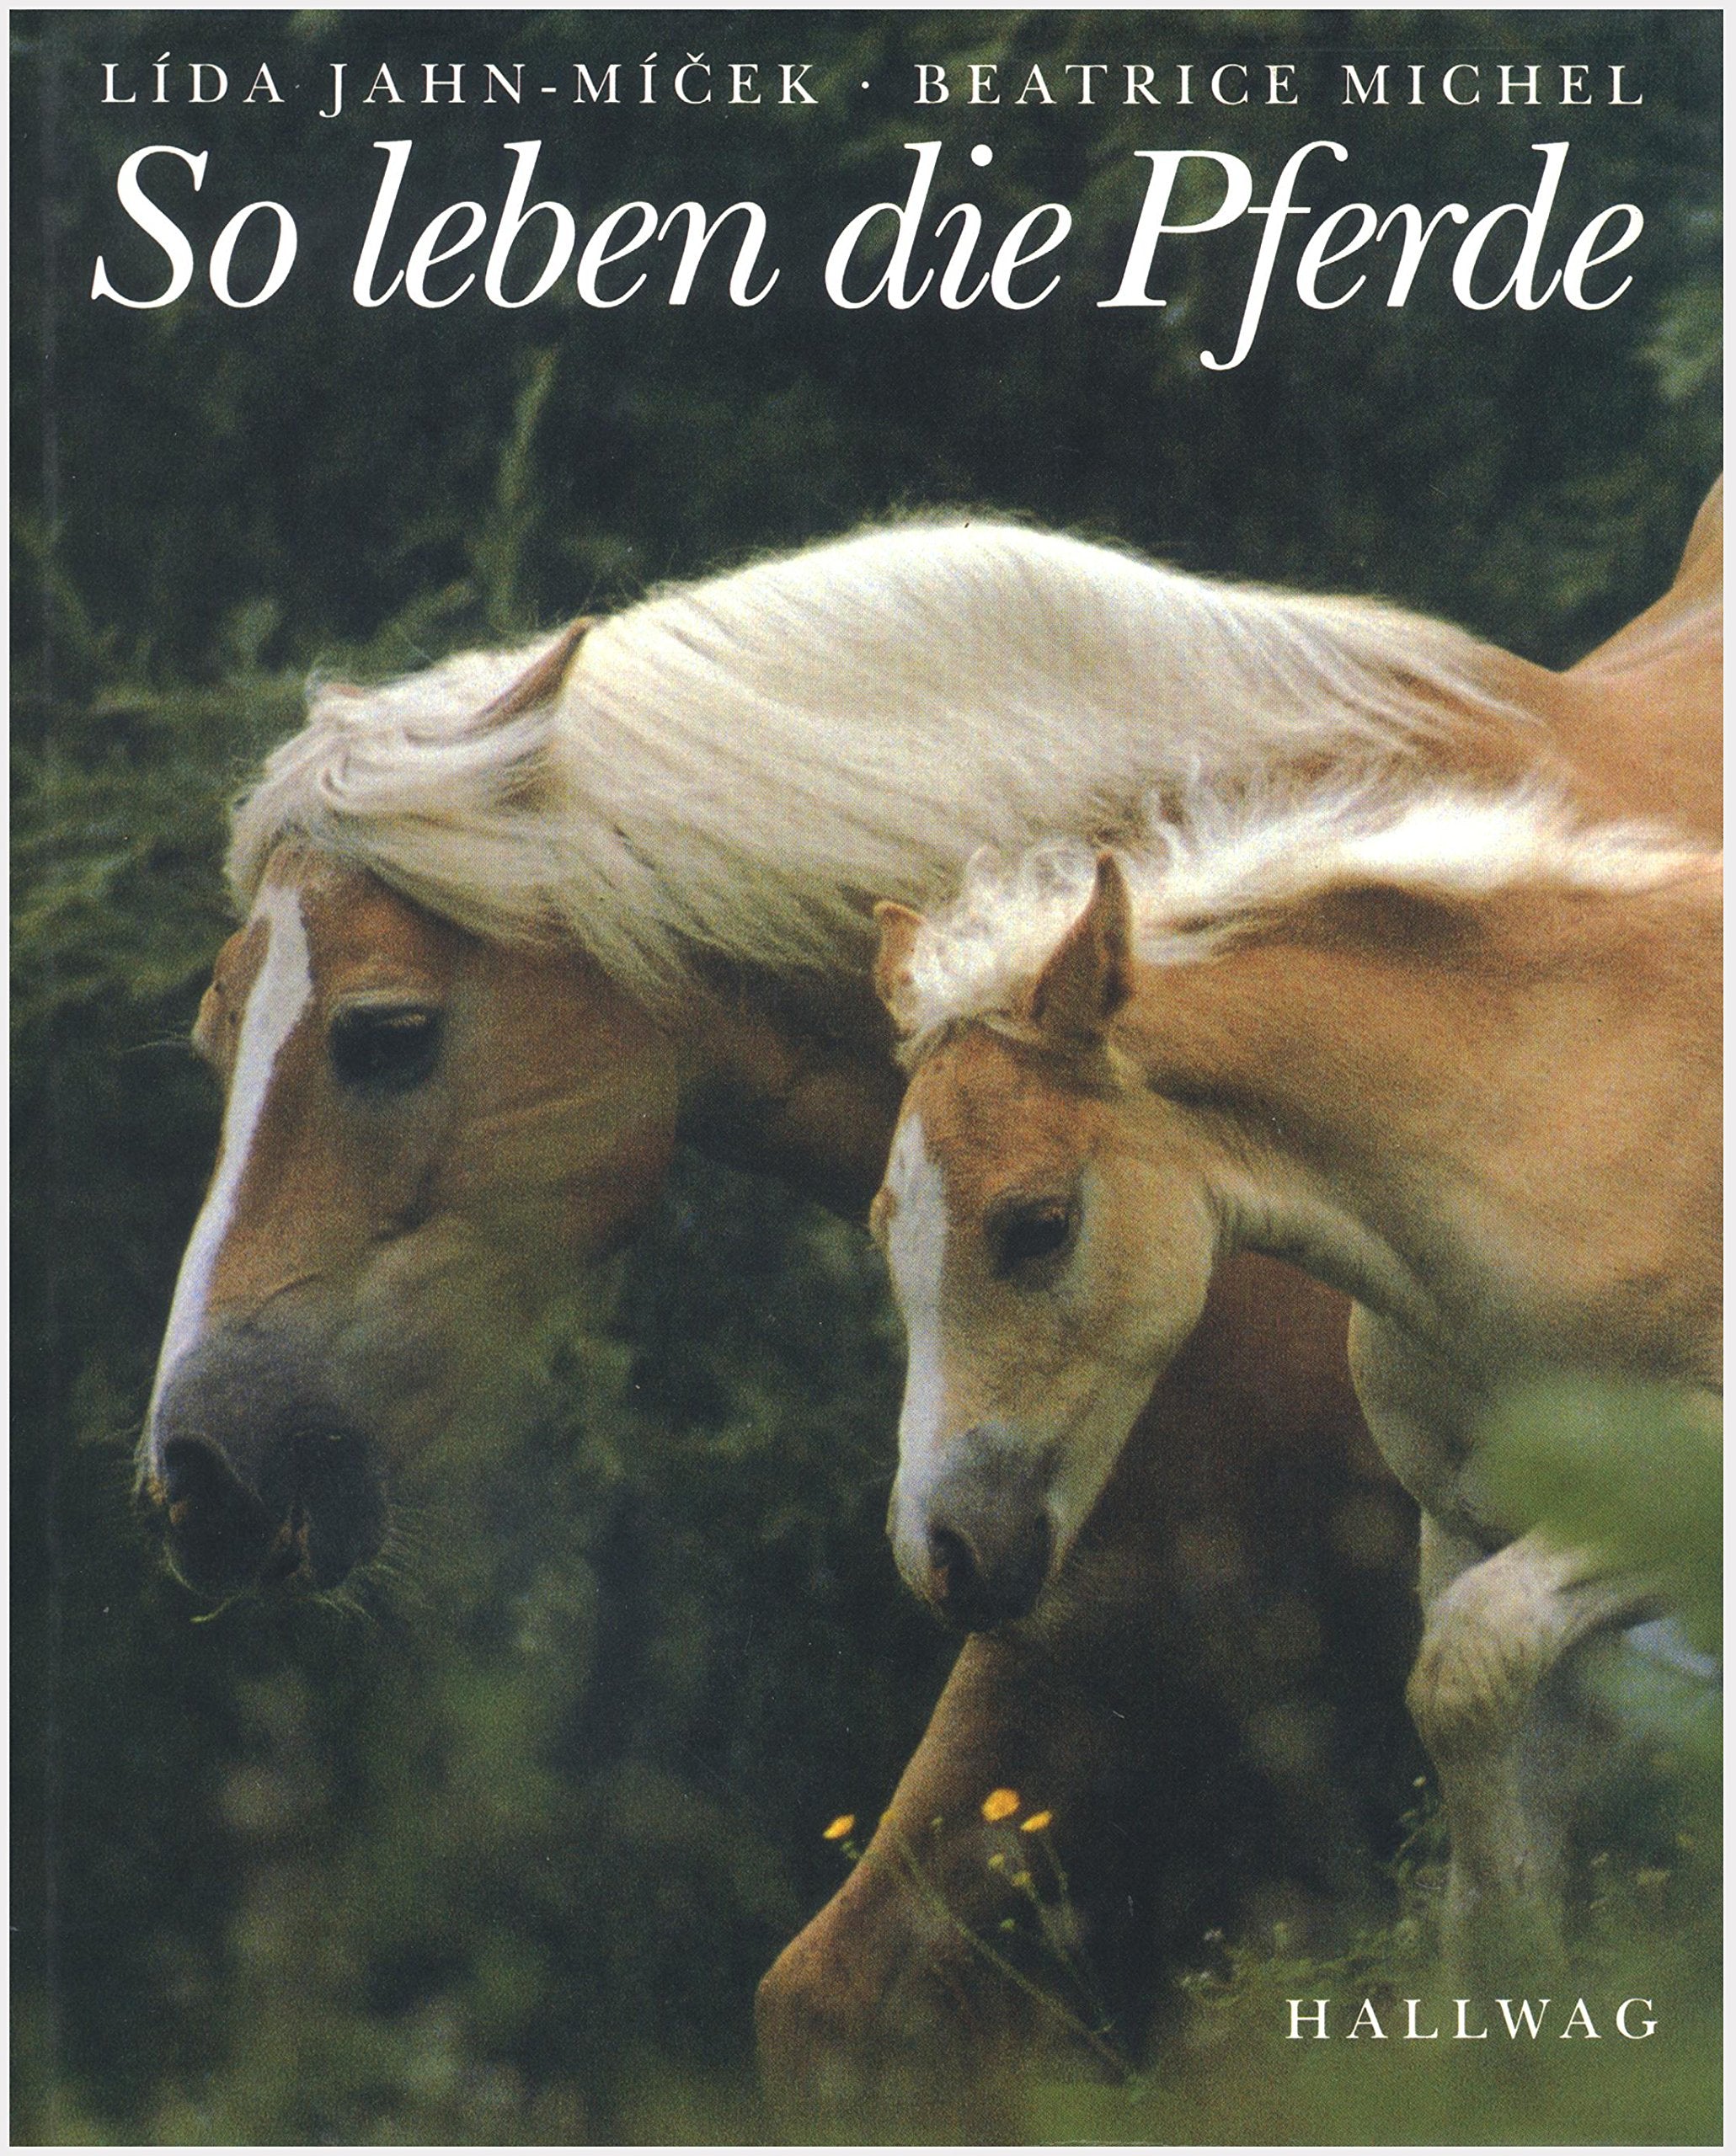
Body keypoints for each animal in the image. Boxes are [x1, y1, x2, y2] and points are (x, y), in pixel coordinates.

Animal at [869, 777, 1720, 1988]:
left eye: (1039, 1224)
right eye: (882, 1229)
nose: (940, 1553)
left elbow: (1464, 1674)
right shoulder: (1475, 1530)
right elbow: (1491, 1821)